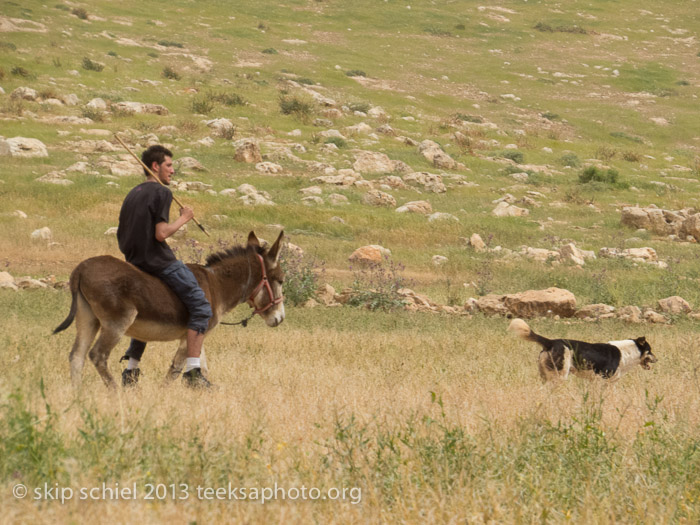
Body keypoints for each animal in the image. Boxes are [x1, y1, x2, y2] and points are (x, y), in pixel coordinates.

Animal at [508, 316, 656, 380]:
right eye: (650, 350)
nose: (657, 359)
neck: (627, 352)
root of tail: (550, 342)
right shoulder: (602, 380)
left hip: (545, 375)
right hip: (560, 374)